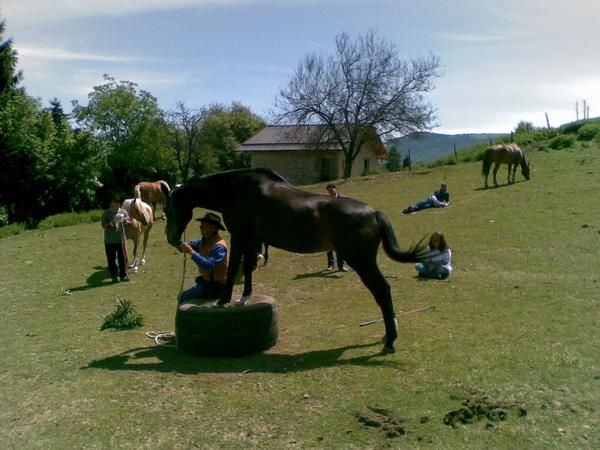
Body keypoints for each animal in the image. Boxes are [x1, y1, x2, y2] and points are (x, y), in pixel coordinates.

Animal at [163, 167, 426, 354]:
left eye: (168, 209)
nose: (171, 238)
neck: (236, 190)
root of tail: (374, 212)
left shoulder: (240, 236)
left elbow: (234, 267)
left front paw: (223, 300)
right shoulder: (252, 239)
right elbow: (248, 268)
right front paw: (244, 297)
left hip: (362, 262)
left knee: (382, 290)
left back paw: (389, 341)